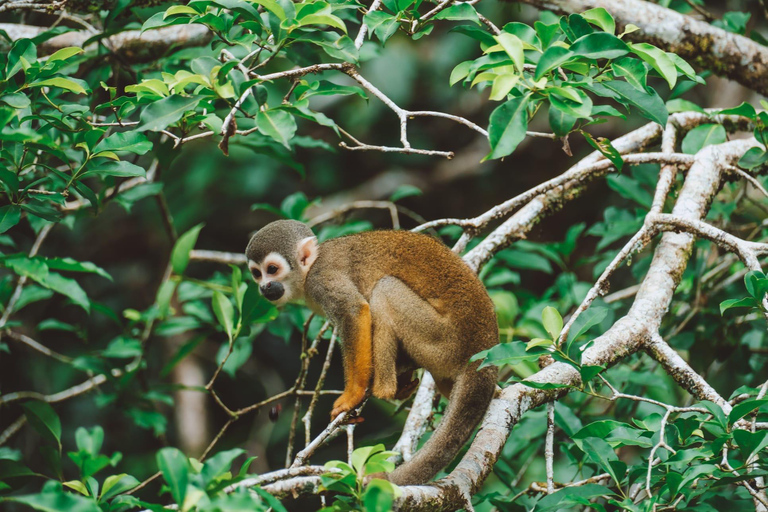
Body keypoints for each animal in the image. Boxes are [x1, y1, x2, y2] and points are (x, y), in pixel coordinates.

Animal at [244, 219, 498, 484]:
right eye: (257, 273)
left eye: (272, 269)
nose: (264, 287)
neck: (308, 271)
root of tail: (482, 347)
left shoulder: (321, 279)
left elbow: (354, 311)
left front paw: (352, 395)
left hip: (444, 339)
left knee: (385, 289)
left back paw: (385, 388)